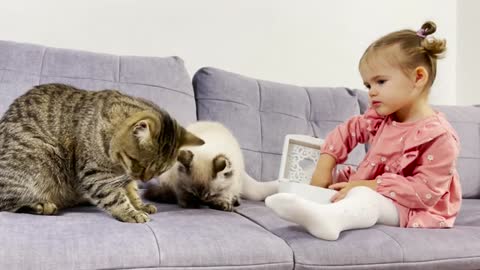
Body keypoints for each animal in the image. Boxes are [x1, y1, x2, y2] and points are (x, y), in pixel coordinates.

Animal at [0, 83, 203, 223]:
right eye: (137, 162)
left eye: (159, 171)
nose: (144, 179)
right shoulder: (96, 174)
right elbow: (114, 197)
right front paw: (131, 212)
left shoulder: (123, 176)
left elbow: (130, 191)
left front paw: (139, 205)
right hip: (38, 160)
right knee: (6, 202)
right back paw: (41, 205)